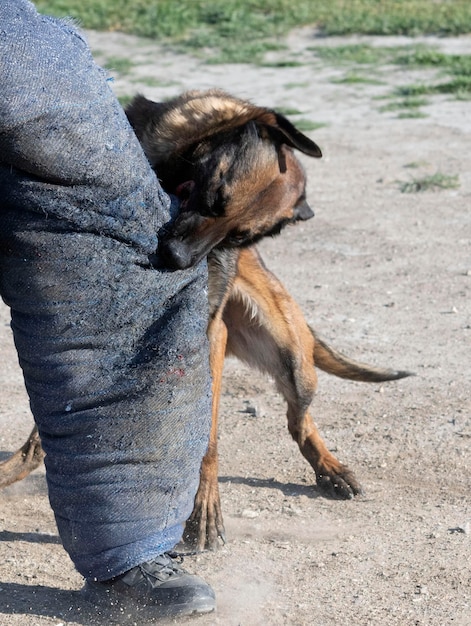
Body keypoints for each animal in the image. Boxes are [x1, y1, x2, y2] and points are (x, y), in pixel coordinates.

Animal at [0, 90, 412, 548]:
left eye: (240, 237)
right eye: (216, 197)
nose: (175, 258)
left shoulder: (206, 335)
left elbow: (206, 439)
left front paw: (203, 510)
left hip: (293, 361)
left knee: (299, 421)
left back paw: (330, 468)